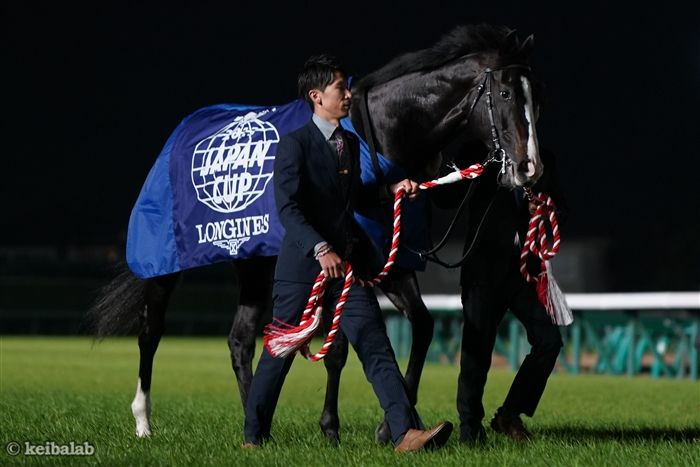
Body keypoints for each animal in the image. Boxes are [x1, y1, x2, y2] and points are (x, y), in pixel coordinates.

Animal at [88, 23, 544, 442]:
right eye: (506, 93)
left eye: (536, 96)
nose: (529, 167)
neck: (381, 136)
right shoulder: (347, 260)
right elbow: (338, 349)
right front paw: (331, 427)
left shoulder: (391, 261)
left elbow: (422, 326)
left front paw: (395, 424)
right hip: (163, 265)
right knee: (151, 333)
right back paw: (144, 422)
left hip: (255, 266)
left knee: (240, 340)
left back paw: (255, 419)